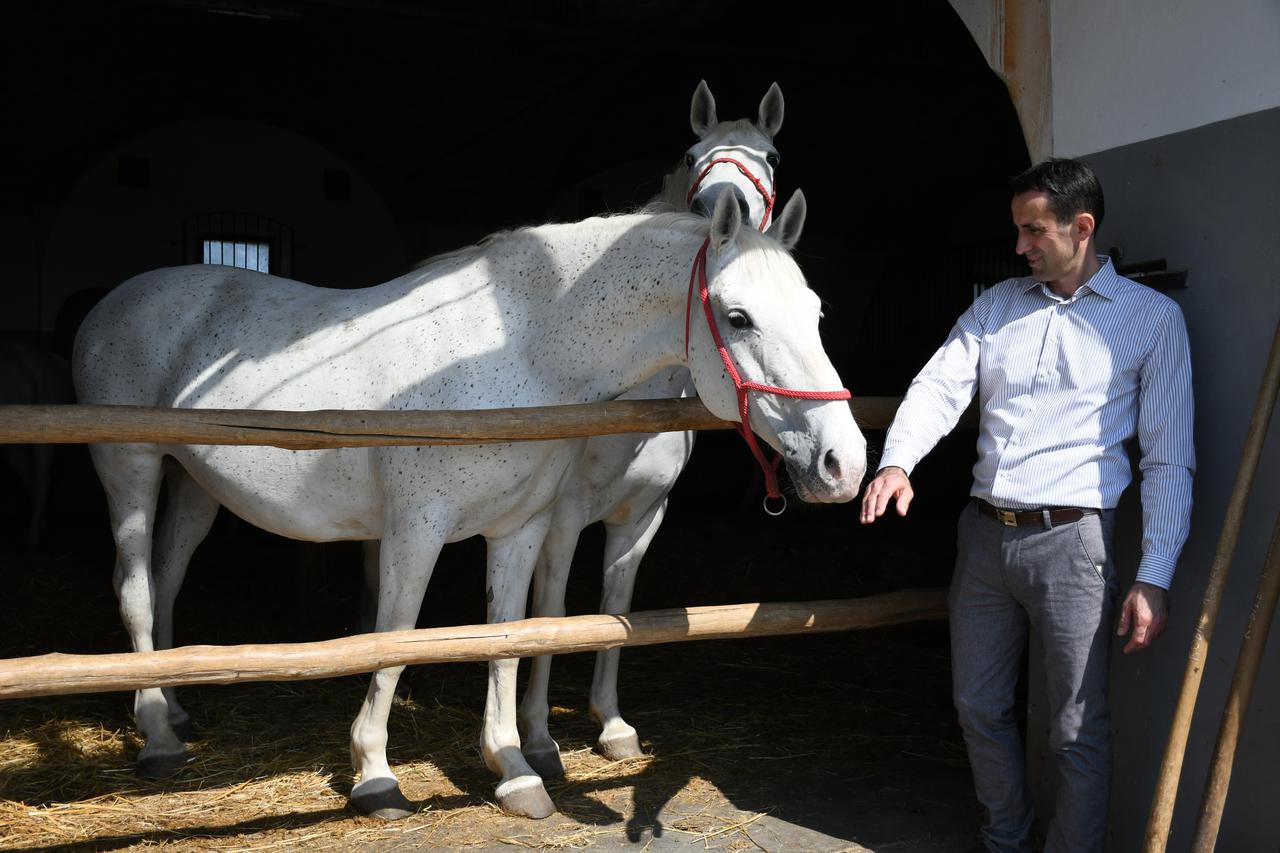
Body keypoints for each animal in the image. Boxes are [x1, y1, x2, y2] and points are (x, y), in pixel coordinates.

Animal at [74, 189, 865, 814]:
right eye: (739, 318)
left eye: (818, 312)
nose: (844, 462)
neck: (519, 353)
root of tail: (109, 303)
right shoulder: (416, 531)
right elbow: (394, 639)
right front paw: (375, 776)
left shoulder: (522, 528)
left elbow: (509, 636)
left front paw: (514, 768)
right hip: (131, 469)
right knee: (134, 585)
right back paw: (158, 737)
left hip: (193, 484)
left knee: (168, 576)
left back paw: (174, 707)